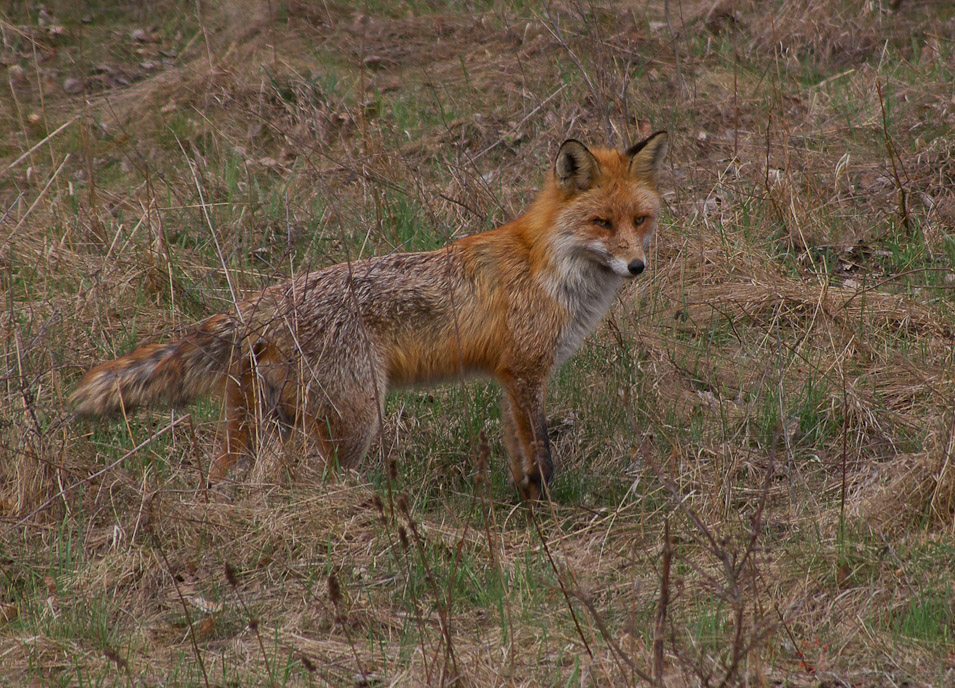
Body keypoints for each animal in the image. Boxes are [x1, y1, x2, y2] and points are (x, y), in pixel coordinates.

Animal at [71, 133, 668, 500]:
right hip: (356, 419)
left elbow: (520, 453)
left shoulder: (510, 377)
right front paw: (546, 514)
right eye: (601, 222)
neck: (549, 266)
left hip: (250, 425)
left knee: (225, 478)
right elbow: (541, 453)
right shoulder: (525, 373)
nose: (637, 266)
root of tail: (262, 303)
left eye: (640, 220)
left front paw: (525, 503)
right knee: (316, 480)